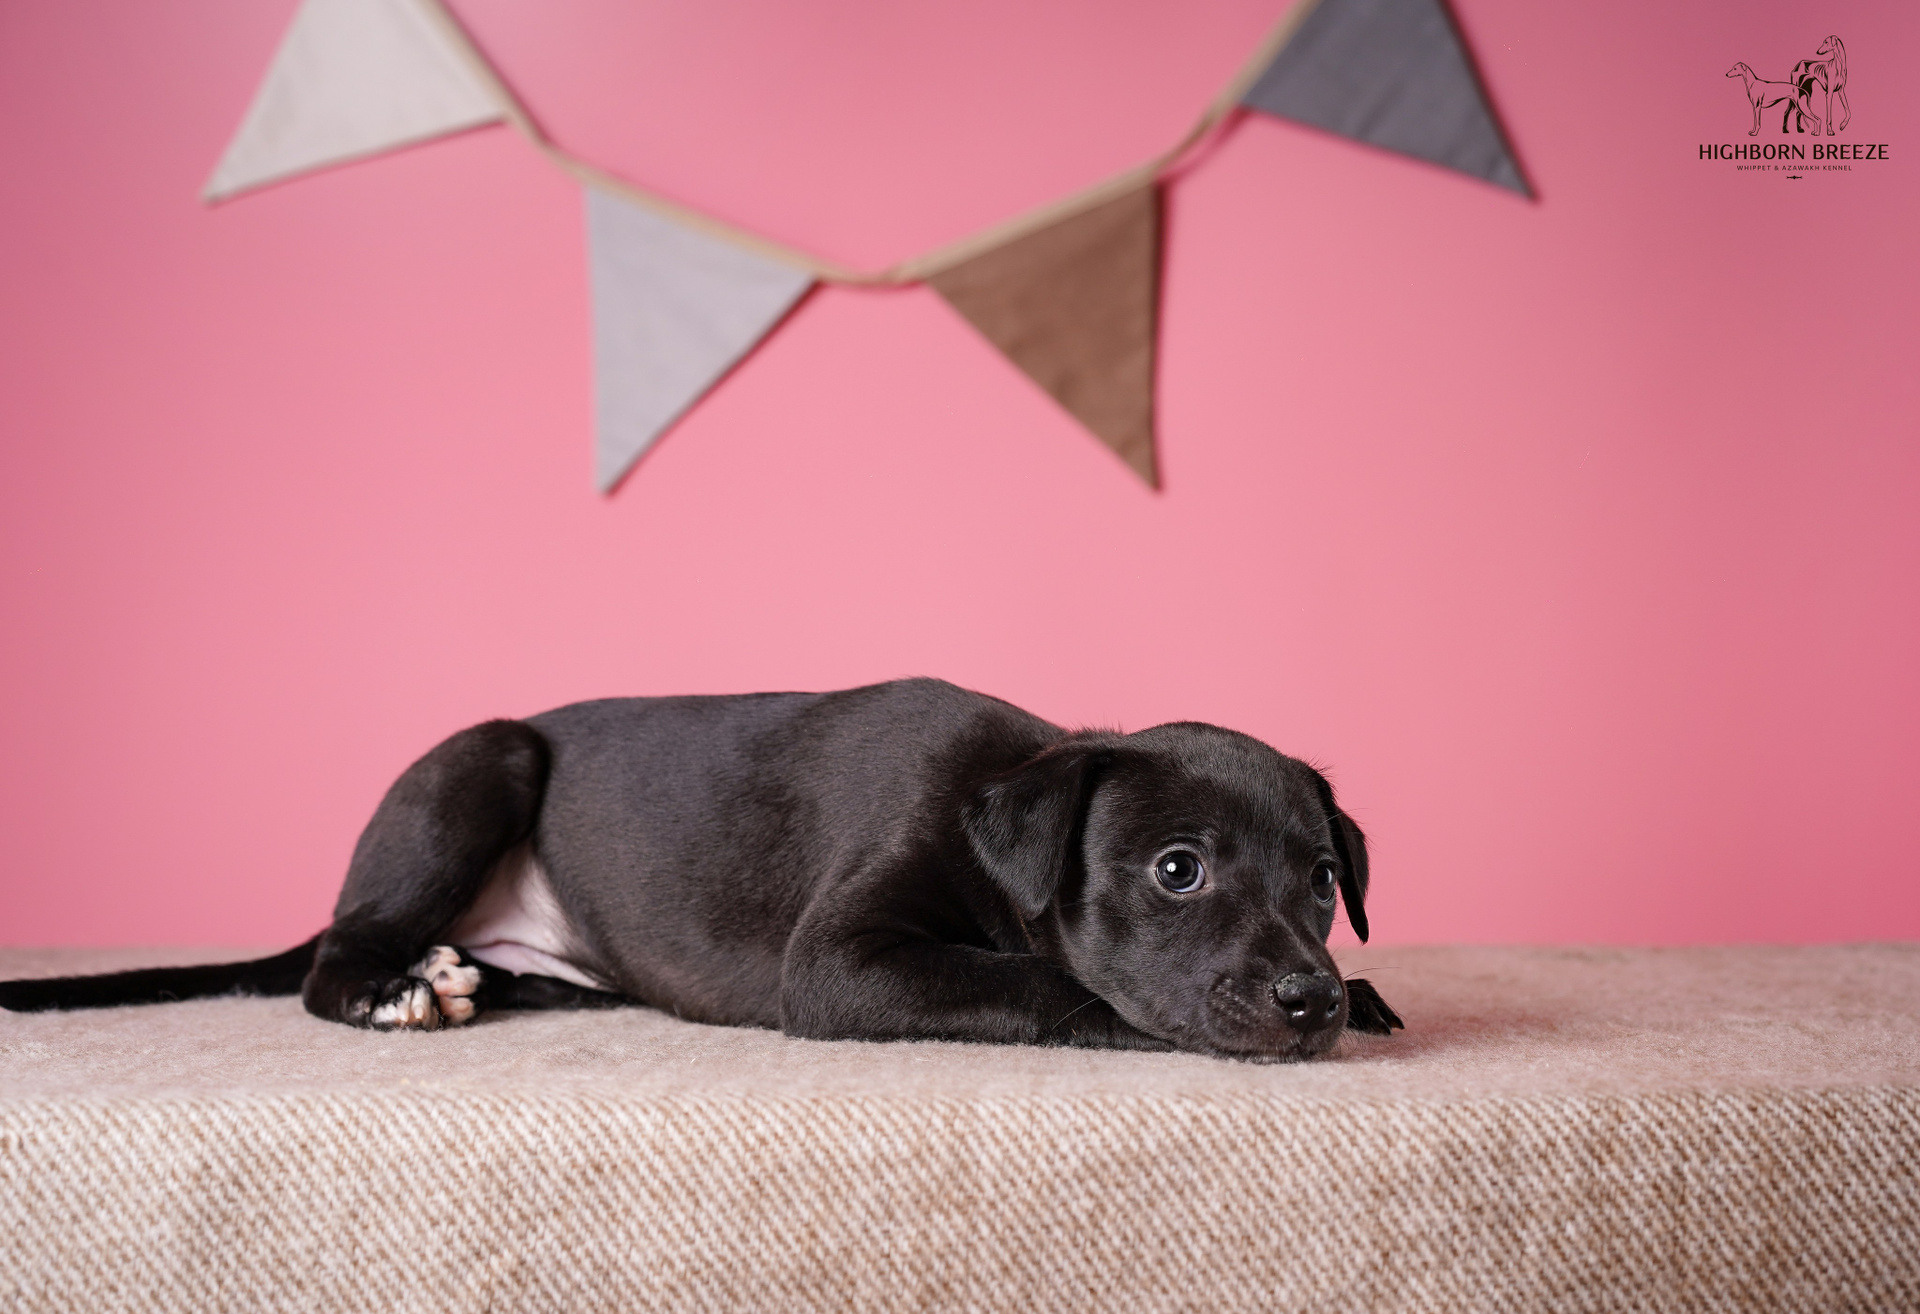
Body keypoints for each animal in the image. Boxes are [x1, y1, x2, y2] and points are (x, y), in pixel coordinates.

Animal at [0, 679, 1401, 1061]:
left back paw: (465, 976)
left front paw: (1373, 996)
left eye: (1321, 882)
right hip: (479, 763)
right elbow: (1043, 984)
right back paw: (395, 986)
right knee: (333, 956)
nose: (1309, 1000)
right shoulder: (840, 966)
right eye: (1177, 869)